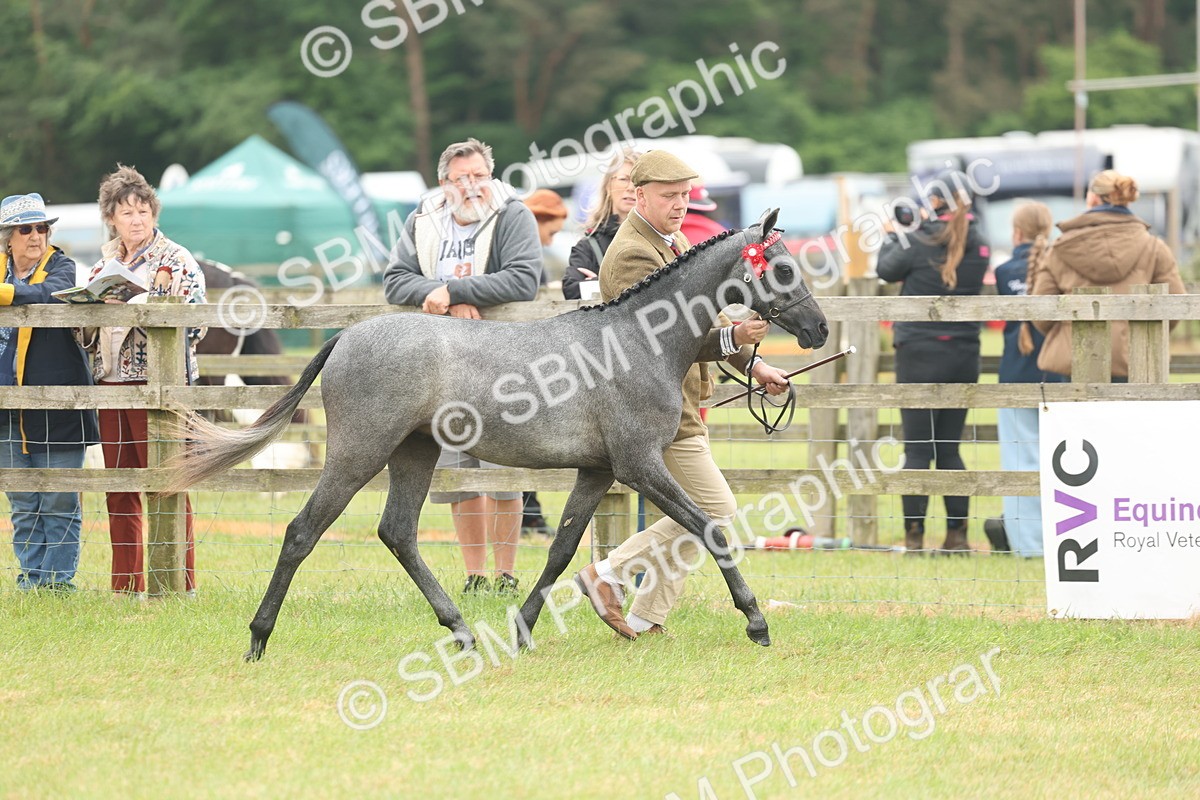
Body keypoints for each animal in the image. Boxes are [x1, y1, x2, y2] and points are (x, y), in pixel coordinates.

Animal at [169, 209, 829, 661]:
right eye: (784, 267)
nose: (819, 328)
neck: (640, 341)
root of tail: (346, 337)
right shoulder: (640, 464)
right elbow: (708, 527)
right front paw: (756, 622)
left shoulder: (600, 470)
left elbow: (563, 548)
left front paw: (523, 629)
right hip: (360, 454)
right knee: (303, 531)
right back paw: (258, 639)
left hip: (415, 453)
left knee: (398, 533)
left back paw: (461, 630)